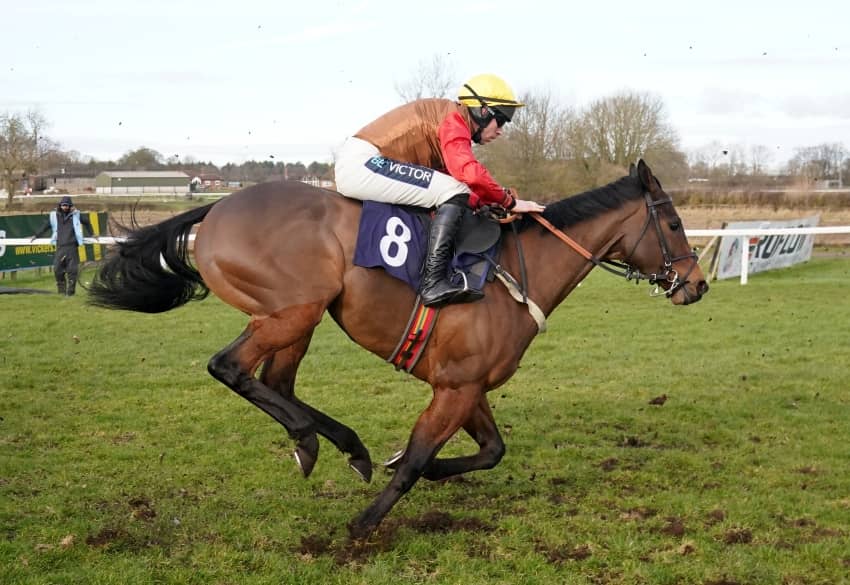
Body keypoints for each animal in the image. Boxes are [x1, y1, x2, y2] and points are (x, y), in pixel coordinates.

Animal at [89, 157, 704, 536]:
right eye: (674, 223)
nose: (697, 285)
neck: (515, 271)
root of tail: (215, 209)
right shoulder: (456, 386)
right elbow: (415, 459)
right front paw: (364, 525)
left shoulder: (466, 384)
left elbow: (488, 450)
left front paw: (398, 469)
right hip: (293, 310)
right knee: (231, 366)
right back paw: (313, 439)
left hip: (296, 318)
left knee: (275, 381)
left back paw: (340, 446)